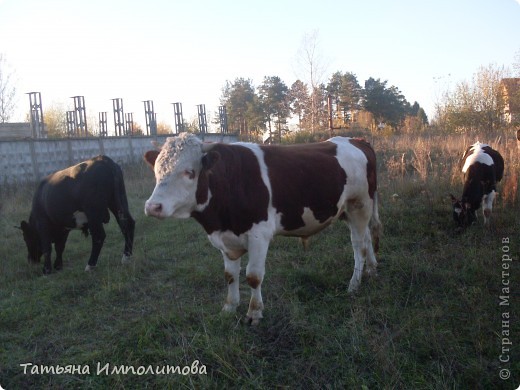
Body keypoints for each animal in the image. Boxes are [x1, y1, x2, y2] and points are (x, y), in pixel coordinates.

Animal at [144, 133, 380, 324]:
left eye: (189, 172)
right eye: (157, 171)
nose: (153, 206)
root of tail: (357, 140)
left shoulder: (259, 234)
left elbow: (253, 276)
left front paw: (254, 313)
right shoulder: (225, 239)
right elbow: (230, 275)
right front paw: (229, 308)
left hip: (360, 204)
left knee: (359, 245)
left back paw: (354, 284)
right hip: (348, 211)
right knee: (368, 238)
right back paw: (372, 270)